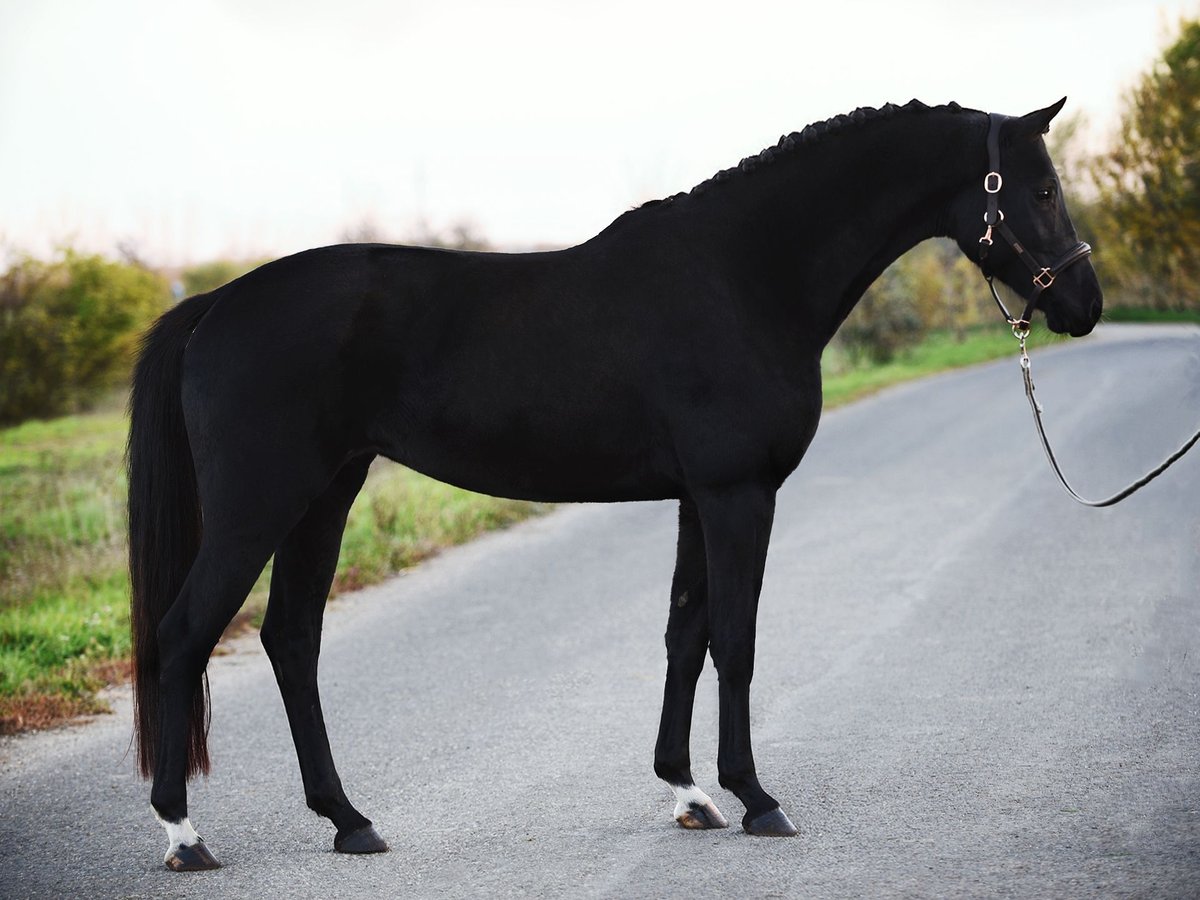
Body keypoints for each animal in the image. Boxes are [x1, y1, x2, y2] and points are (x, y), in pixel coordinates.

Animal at [129, 97, 1099, 868]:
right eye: (1040, 190)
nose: (1084, 305)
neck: (744, 274)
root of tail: (215, 305)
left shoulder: (699, 499)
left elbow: (685, 632)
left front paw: (690, 793)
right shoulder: (738, 494)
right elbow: (736, 640)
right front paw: (757, 799)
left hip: (325, 496)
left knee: (292, 640)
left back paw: (348, 820)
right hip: (260, 507)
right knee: (184, 636)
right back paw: (184, 835)